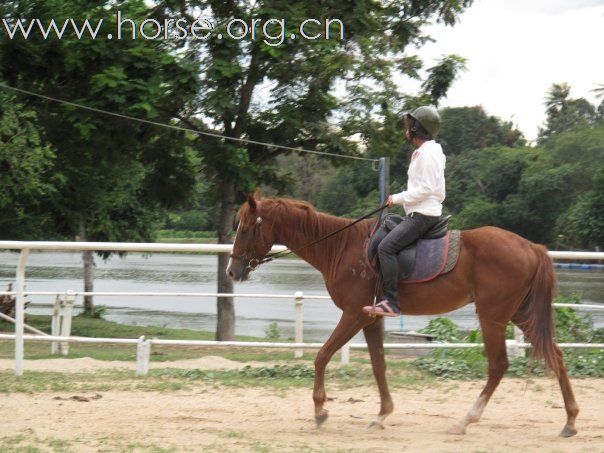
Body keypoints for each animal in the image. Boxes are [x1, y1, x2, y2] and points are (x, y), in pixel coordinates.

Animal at [226, 195, 580, 438]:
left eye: (245, 230)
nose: (232, 270)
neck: (341, 246)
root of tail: (532, 247)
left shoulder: (354, 315)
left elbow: (322, 356)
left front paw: (320, 410)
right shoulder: (372, 318)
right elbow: (378, 365)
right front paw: (382, 414)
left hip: (493, 317)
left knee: (498, 365)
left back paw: (466, 420)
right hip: (521, 315)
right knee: (557, 357)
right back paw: (570, 420)